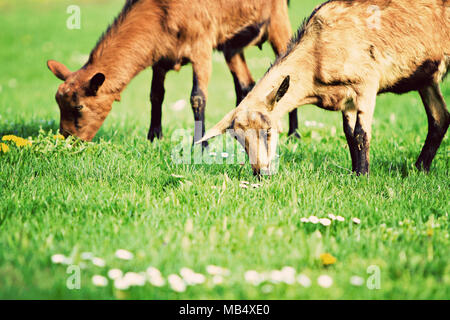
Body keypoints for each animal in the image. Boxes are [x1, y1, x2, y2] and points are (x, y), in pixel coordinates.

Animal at [46, 0, 298, 142]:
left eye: (79, 107)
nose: (68, 140)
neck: (163, 12)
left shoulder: (201, 47)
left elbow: (197, 98)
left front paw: (200, 145)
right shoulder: (160, 57)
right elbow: (155, 95)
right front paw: (153, 138)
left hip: (278, 20)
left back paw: (294, 134)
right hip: (232, 44)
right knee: (245, 84)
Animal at [200, 0, 450, 175]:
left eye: (269, 131)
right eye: (238, 139)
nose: (260, 173)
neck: (317, 52)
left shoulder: (366, 83)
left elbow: (361, 134)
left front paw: (363, 176)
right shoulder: (346, 98)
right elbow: (349, 134)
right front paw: (354, 173)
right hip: (425, 77)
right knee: (440, 117)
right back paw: (419, 169)